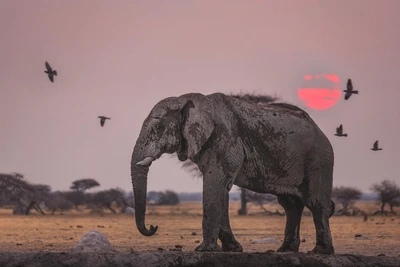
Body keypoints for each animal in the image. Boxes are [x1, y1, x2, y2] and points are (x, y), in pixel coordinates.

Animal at [130, 93, 334, 254]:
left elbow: (214, 185)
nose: (153, 227)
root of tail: (320, 130)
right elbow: (221, 190)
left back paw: (320, 252)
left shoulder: (225, 139)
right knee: (290, 204)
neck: (187, 100)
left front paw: (204, 250)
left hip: (318, 158)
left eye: (158, 128)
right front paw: (233, 249)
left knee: (314, 202)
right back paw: (285, 250)